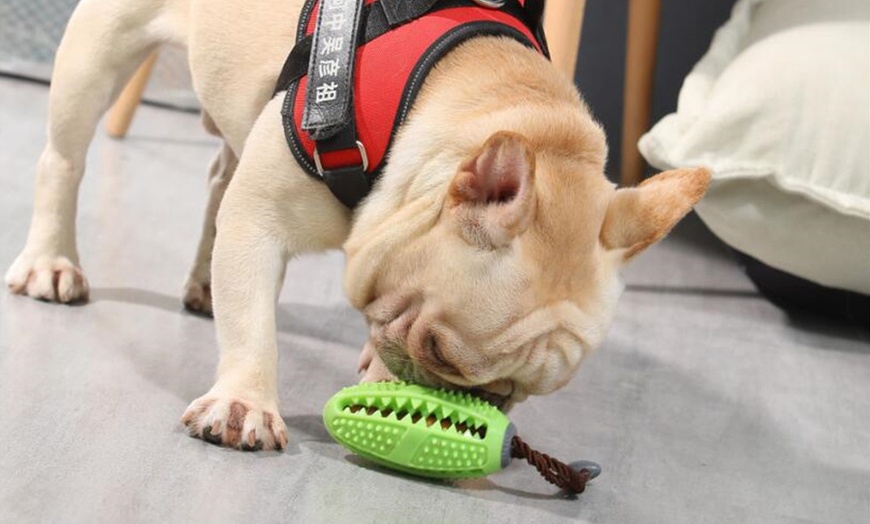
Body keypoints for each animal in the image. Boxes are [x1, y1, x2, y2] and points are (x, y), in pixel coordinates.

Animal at [3, 0, 712, 450]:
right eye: (440, 354)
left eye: (517, 397)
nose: (479, 405)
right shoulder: (260, 221)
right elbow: (253, 320)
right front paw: (245, 405)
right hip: (102, 47)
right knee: (63, 160)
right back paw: (51, 263)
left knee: (220, 180)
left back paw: (203, 283)